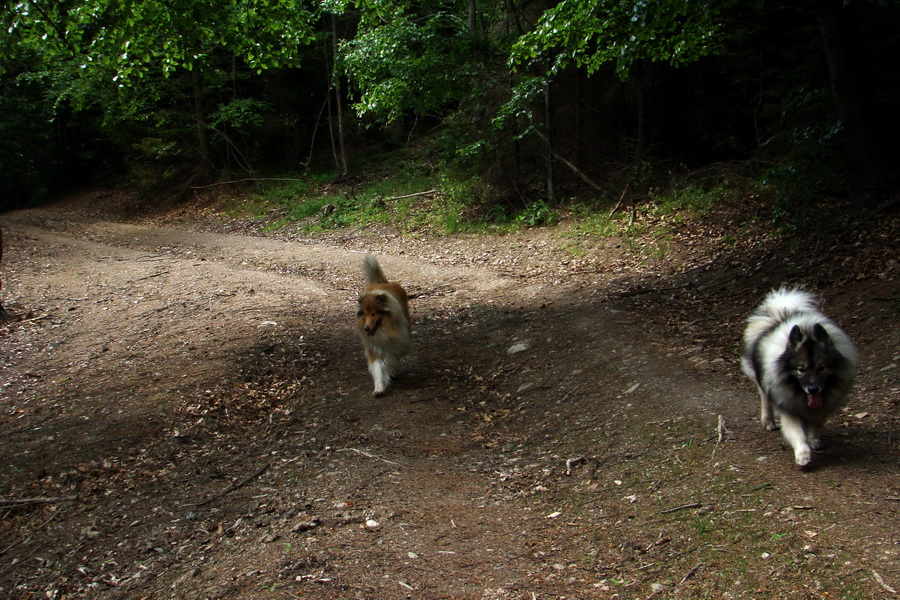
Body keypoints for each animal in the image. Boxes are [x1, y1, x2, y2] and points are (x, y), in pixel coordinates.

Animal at [356, 255, 412, 396]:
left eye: (374, 314)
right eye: (365, 314)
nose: (366, 329)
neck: (383, 329)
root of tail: (382, 282)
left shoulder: (393, 345)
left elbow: (388, 362)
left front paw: (388, 373)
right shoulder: (373, 348)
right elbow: (378, 368)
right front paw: (379, 388)